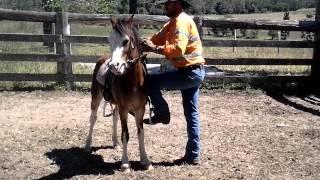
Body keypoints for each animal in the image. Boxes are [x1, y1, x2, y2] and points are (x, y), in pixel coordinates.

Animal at [83, 15, 152, 172]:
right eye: (110, 40)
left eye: (126, 41)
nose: (114, 66)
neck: (133, 82)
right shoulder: (124, 109)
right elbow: (125, 134)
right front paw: (125, 163)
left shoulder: (140, 110)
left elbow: (141, 133)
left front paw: (145, 160)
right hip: (96, 97)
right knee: (93, 118)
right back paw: (88, 144)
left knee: (114, 117)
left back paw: (115, 143)